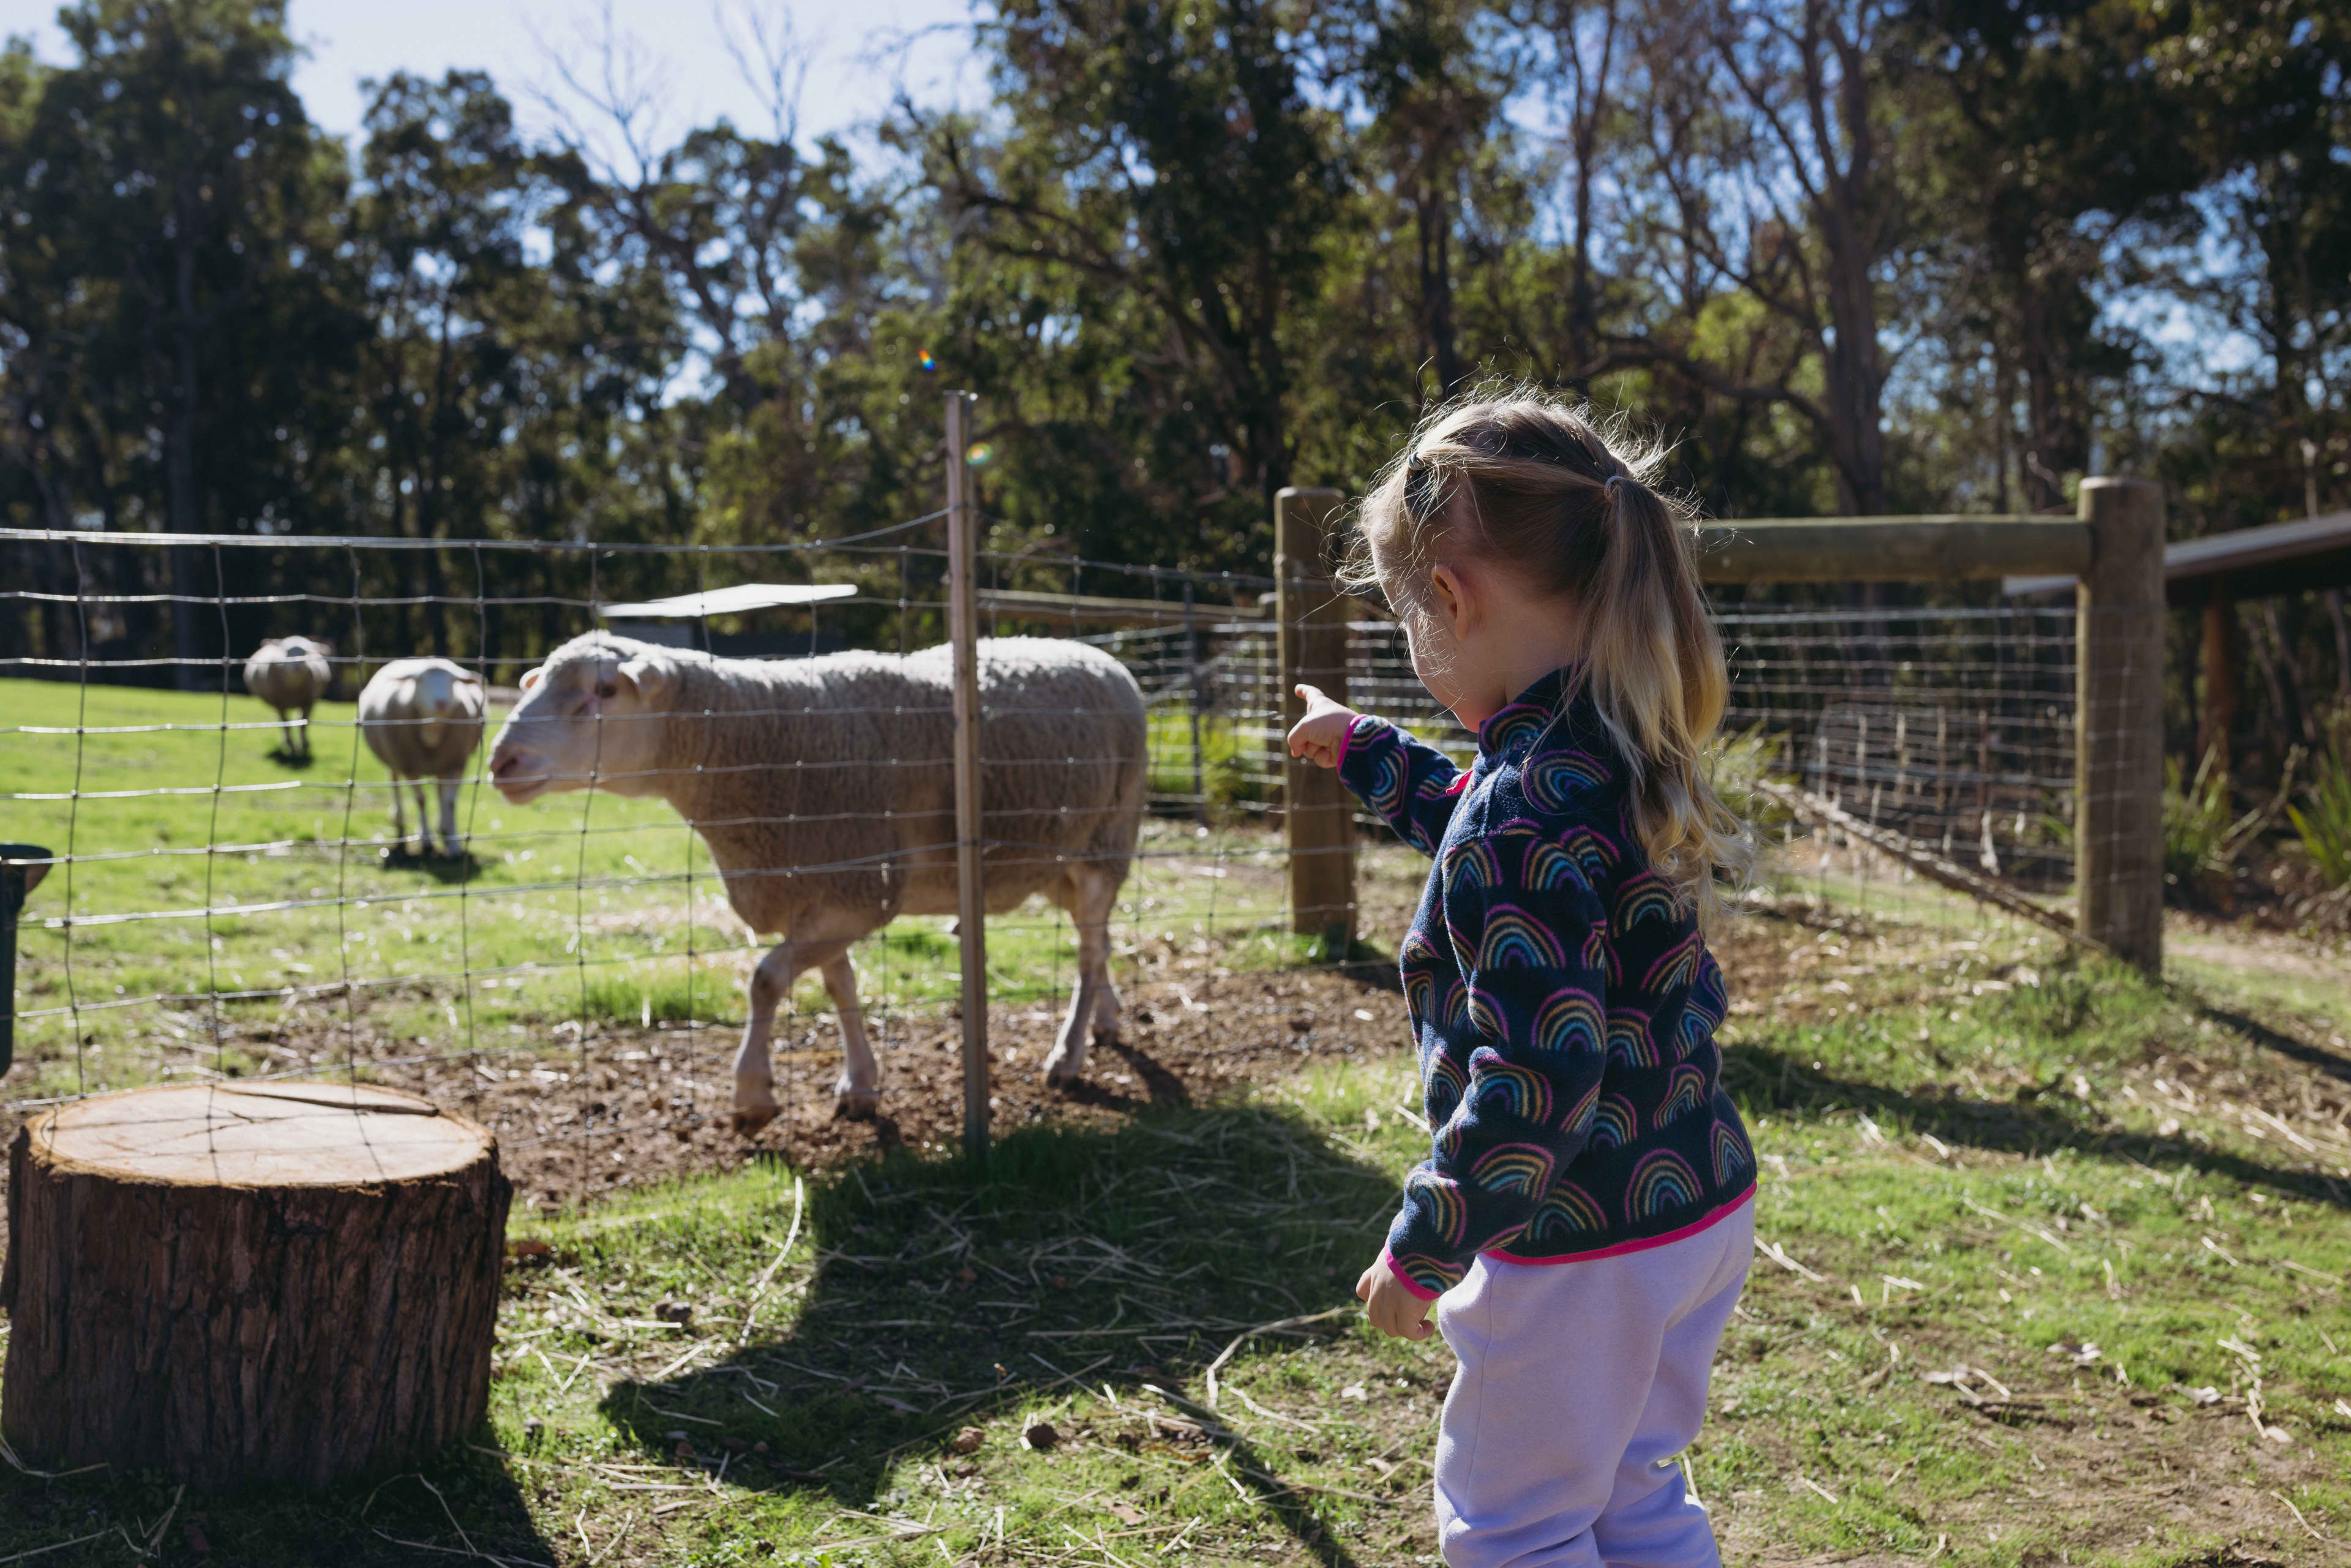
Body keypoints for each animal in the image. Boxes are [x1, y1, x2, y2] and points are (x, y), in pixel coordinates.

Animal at [243, 636, 332, 758]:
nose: (297, 667)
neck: (293, 688)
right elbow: (286, 725)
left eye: (306, 652)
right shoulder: (280, 704)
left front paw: (304, 746)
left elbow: (303, 725)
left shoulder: (309, 702)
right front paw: (292, 748)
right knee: (283, 722)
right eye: (286, 652)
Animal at [358, 657, 487, 858]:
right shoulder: (409, 766)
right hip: (394, 759)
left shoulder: (456, 763)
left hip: (441, 765)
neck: (432, 732)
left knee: (440, 791)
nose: (441, 703)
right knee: (395, 782)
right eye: (420, 680)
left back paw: (443, 827)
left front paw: (453, 844)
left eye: (453, 681)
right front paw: (426, 840)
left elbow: (450, 802)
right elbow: (421, 800)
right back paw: (399, 817)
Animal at [485, 631, 1147, 1129]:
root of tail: (1104, 656)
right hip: (1061, 858)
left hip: (1106, 841)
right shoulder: (819, 888)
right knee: (1101, 942)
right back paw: (1107, 1020)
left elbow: (765, 979)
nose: (501, 761)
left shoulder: (855, 890)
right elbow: (840, 987)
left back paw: (1068, 1054)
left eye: (602, 690)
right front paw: (860, 1084)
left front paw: (753, 1093)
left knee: (1088, 953)